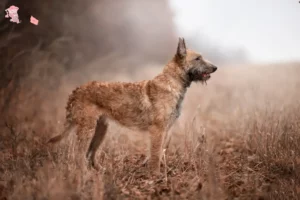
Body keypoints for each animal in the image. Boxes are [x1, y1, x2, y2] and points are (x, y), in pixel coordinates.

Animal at [48, 38, 218, 173]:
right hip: (87, 129)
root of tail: (76, 91)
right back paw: (85, 174)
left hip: (100, 129)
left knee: (90, 153)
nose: (215, 67)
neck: (173, 82)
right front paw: (155, 175)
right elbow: (156, 154)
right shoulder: (157, 130)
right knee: (79, 154)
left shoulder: (165, 129)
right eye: (198, 58)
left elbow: (159, 152)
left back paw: (100, 171)